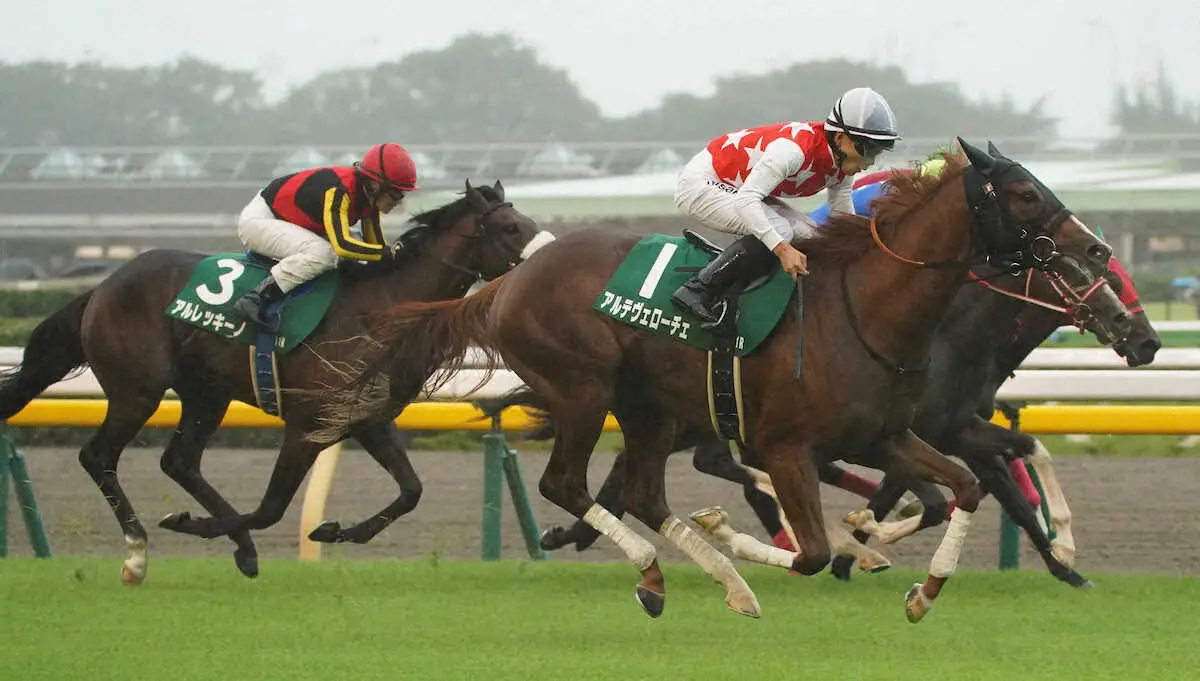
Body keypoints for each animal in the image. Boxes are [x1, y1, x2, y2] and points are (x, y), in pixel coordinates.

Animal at [0, 181, 547, 585]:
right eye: (510, 226)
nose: (548, 260)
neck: (384, 309)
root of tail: (103, 285)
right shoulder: (307, 425)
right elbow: (269, 508)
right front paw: (190, 524)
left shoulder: (366, 420)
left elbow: (410, 491)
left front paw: (334, 531)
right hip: (138, 390)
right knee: (99, 457)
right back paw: (137, 555)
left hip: (206, 393)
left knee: (179, 461)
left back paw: (239, 550)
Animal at [343, 139, 1128, 623]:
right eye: (1023, 193)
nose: (1095, 248)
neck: (863, 309)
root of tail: (508, 281)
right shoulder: (786, 446)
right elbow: (810, 550)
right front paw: (797, 542)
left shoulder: (888, 435)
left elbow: (963, 487)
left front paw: (924, 589)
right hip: (583, 390)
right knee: (568, 484)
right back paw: (671, 570)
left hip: (648, 409)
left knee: (641, 493)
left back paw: (715, 582)